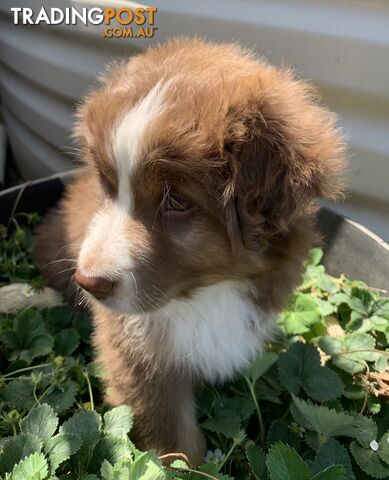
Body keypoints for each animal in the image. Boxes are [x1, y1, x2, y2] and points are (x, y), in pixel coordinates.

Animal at [32, 39, 342, 466]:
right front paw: (189, 468)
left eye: (177, 201)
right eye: (108, 186)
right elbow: (174, 436)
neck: (208, 293)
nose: (88, 282)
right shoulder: (136, 351)